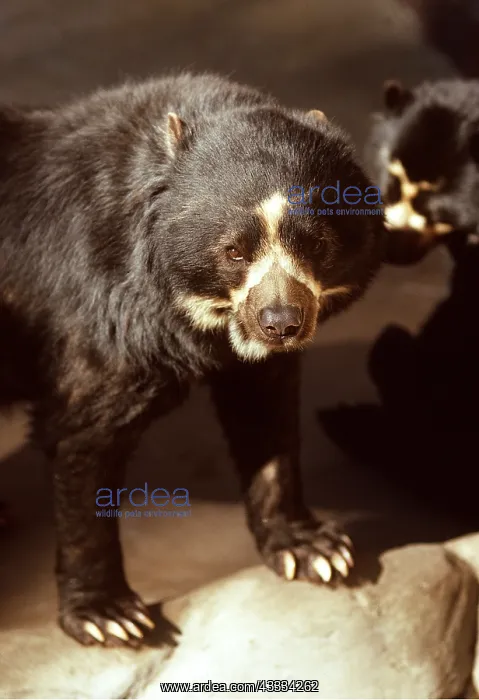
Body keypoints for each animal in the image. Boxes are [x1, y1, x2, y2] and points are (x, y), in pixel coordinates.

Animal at [0, 72, 384, 647]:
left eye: (317, 244)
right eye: (234, 251)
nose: (281, 322)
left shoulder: (252, 359)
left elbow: (266, 420)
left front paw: (313, 550)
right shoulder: (103, 315)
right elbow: (83, 434)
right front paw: (111, 616)